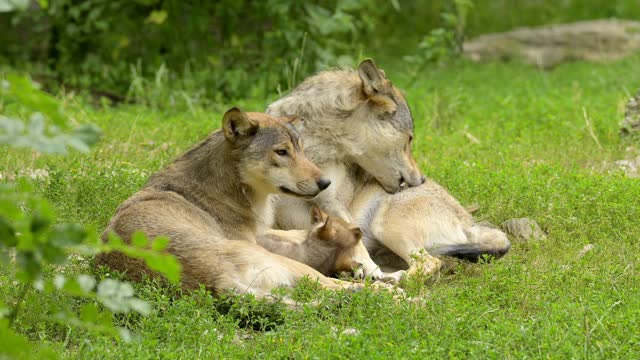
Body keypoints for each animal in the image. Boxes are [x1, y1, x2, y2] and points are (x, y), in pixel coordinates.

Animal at [94, 107, 364, 298]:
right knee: (337, 286)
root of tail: (220, 280)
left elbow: (294, 233)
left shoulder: (261, 233)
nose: (326, 182)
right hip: (288, 265)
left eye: (302, 151)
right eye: (281, 152)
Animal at [264, 59, 510, 282]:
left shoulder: (331, 202)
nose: (420, 180)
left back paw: (388, 277)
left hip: (385, 226)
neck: (315, 145)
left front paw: (369, 271)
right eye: (409, 139)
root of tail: (471, 223)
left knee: (429, 263)